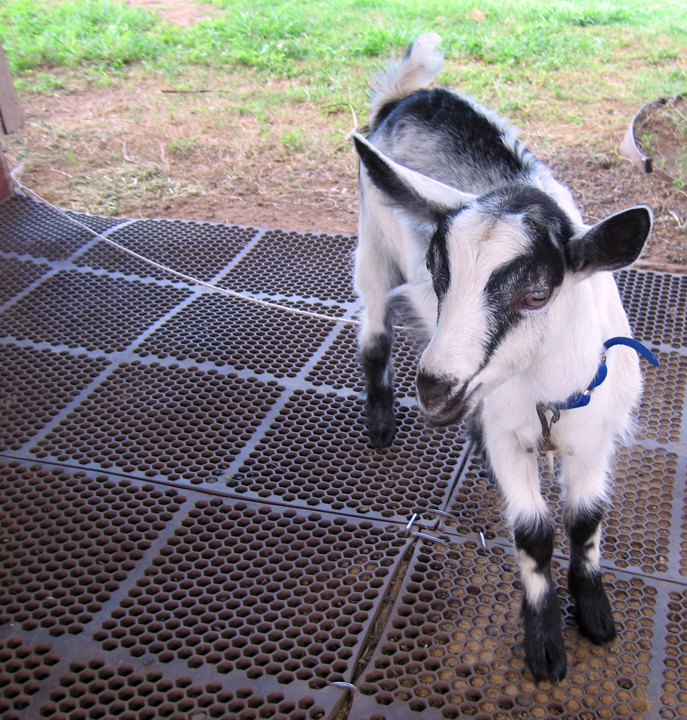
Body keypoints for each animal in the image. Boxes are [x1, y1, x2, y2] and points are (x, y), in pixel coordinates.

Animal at [354, 32, 656, 680]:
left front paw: (595, 614)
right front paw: (544, 644)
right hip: (373, 241)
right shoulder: (509, 433)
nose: (435, 387)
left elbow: (585, 521)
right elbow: (535, 533)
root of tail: (408, 95)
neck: (548, 393)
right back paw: (381, 419)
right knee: (373, 326)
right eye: (438, 272)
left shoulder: (595, 434)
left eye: (537, 295)